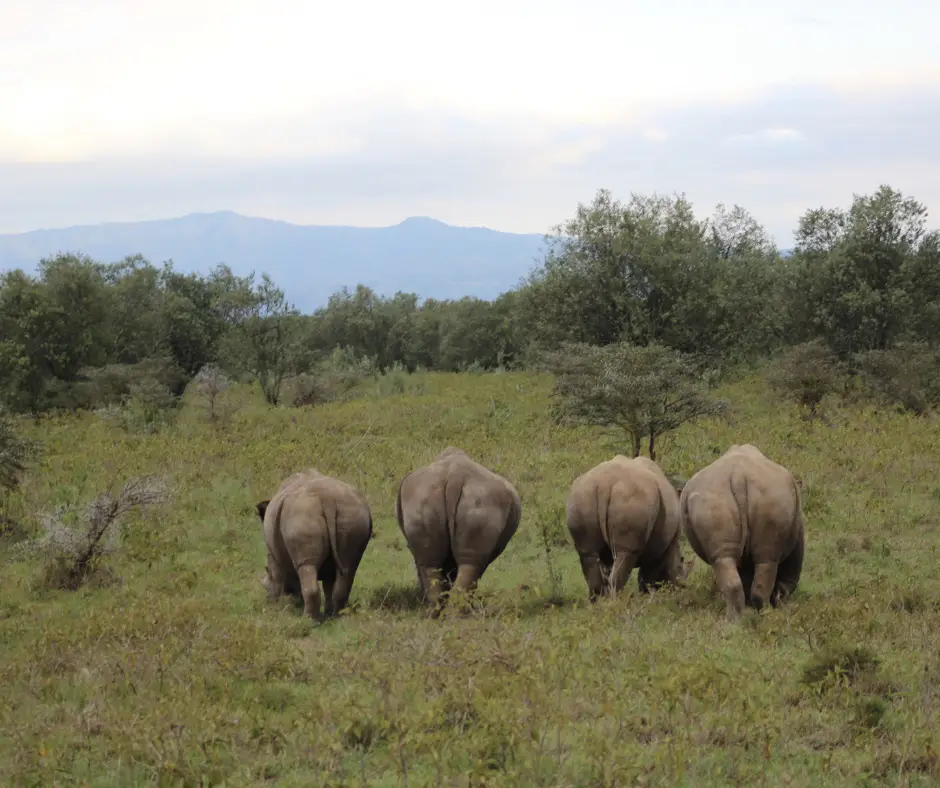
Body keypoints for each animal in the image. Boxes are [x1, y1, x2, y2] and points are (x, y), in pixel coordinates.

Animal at [255, 468, 373, 622]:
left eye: (267, 571)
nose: (269, 599)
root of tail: (327, 498)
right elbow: (329, 584)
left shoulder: (275, 556)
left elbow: (286, 577)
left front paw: (289, 604)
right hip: (353, 515)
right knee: (348, 568)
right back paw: (336, 616)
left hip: (301, 516)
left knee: (306, 566)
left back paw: (309, 621)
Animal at [566, 454, 692, 600]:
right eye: (681, 568)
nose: (682, 588)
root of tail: (605, 484)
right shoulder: (662, 548)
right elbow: (647, 576)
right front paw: (648, 597)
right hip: (633, 501)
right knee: (625, 554)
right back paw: (617, 601)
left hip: (582, 497)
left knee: (588, 555)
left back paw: (600, 603)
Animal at [679, 444, 805, 621]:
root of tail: (738, 475)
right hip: (769, 498)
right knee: (767, 560)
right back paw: (761, 615)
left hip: (715, 501)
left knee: (726, 559)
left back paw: (735, 619)